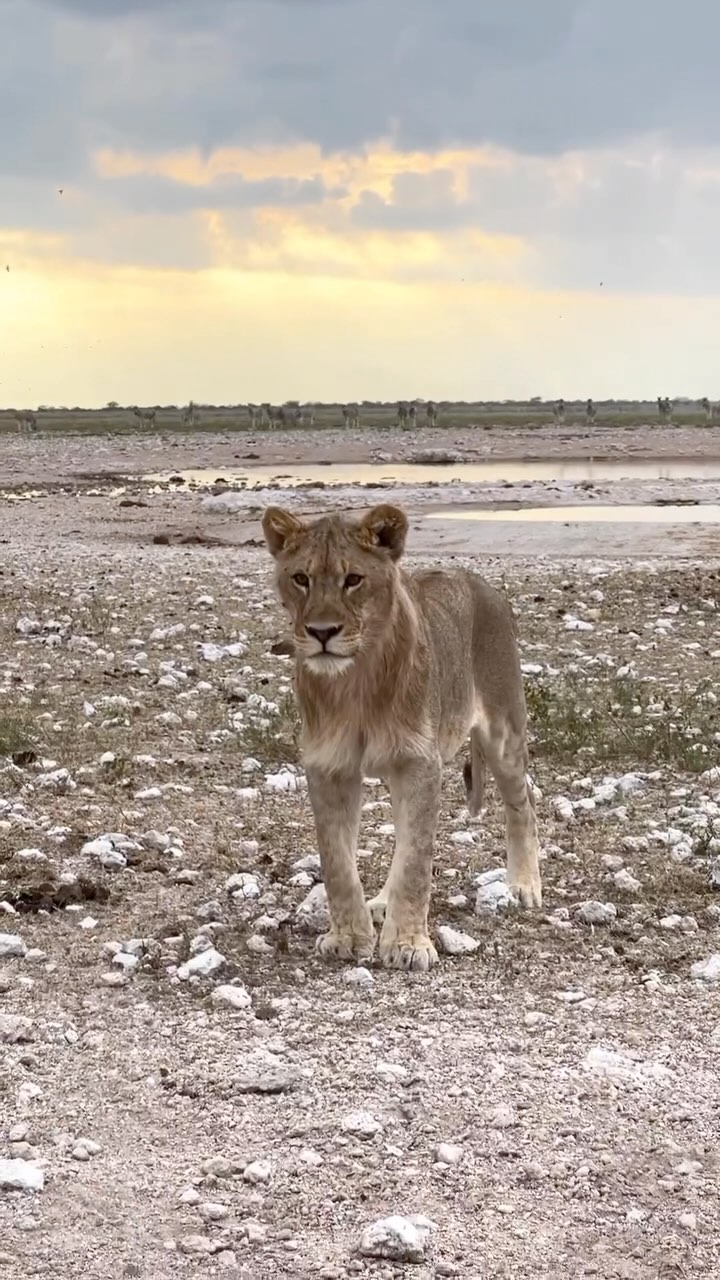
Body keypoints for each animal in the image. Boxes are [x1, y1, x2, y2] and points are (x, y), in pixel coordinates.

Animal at [262, 502, 542, 972]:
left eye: (353, 579)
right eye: (300, 578)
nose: (322, 632)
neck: (354, 682)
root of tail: (484, 585)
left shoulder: (419, 762)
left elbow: (415, 860)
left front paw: (409, 945)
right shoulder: (328, 765)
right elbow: (337, 861)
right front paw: (348, 937)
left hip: (503, 732)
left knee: (523, 805)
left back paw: (524, 885)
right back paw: (379, 903)